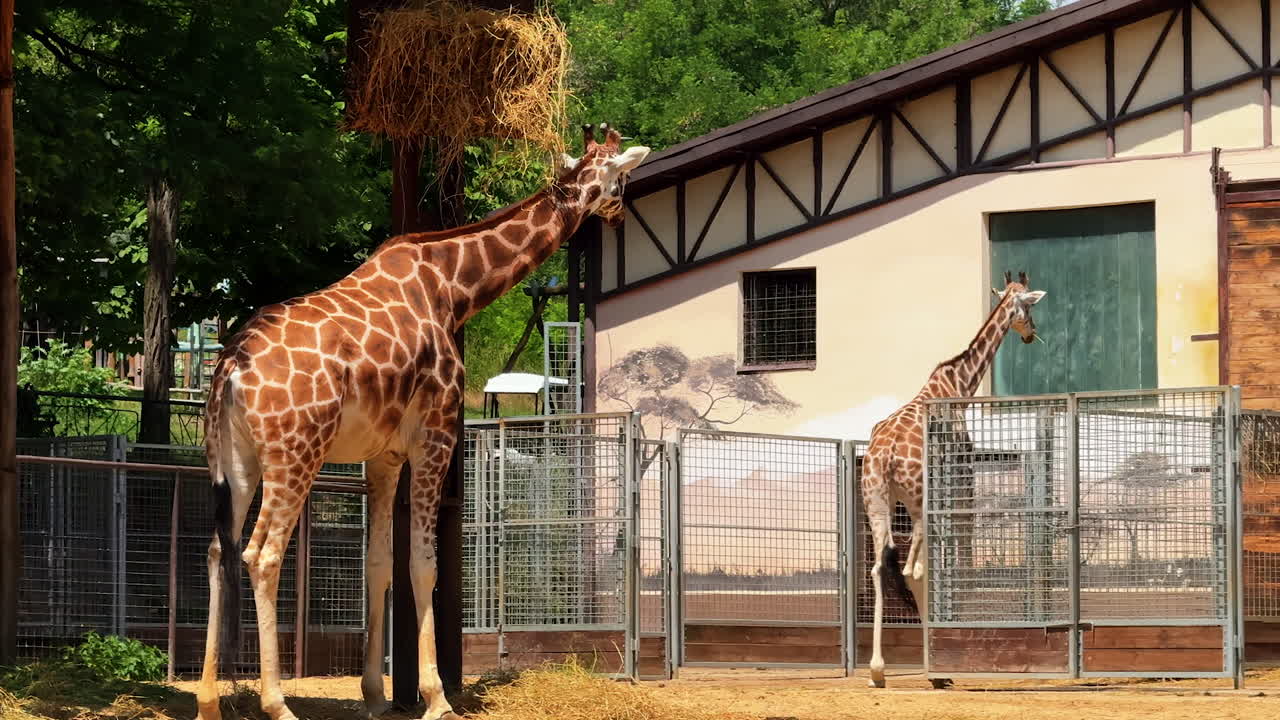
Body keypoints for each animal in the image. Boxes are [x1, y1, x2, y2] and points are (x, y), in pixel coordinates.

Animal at [195, 125, 650, 720]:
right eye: (621, 179)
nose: (621, 217)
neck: (454, 290)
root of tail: (230, 365)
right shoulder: (436, 435)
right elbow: (424, 566)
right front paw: (436, 697)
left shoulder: (383, 455)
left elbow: (378, 564)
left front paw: (374, 695)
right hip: (295, 455)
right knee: (261, 554)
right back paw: (276, 703)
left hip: (234, 461)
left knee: (217, 551)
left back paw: (207, 700)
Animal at [860, 271, 1046, 689]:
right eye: (1029, 307)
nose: (1032, 334)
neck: (960, 386)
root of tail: (886, 453)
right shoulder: (962, 484)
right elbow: (957, 565)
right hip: (917, 501)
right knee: (912, 570)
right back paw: (935, 672)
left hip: (876, 499)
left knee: (880, 568)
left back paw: (878, 670)